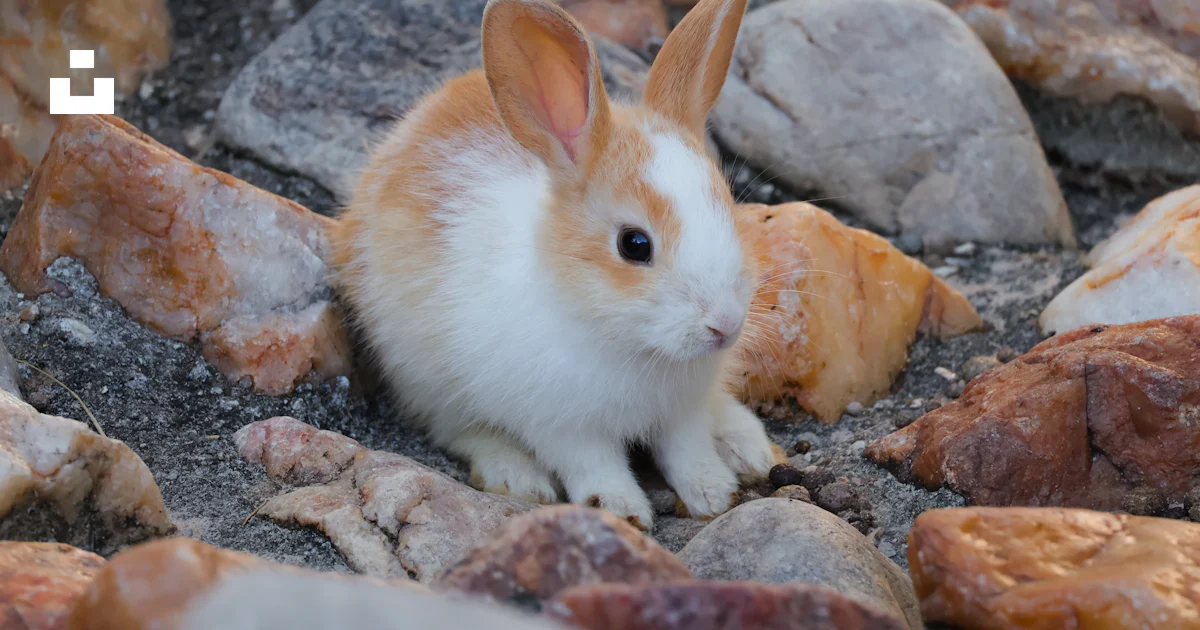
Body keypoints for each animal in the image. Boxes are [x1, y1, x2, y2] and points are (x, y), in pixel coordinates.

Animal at [330, 0, 778, 531]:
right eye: (634, 244)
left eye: (728, 210)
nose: (725, 326)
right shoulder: (561, 424)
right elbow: (594, 465)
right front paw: (621, 510)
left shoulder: (682, 413)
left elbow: (687, 451)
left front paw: (714, 494)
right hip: (425, 380)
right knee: (459, 430)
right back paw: (516, 477)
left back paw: (750, 448)